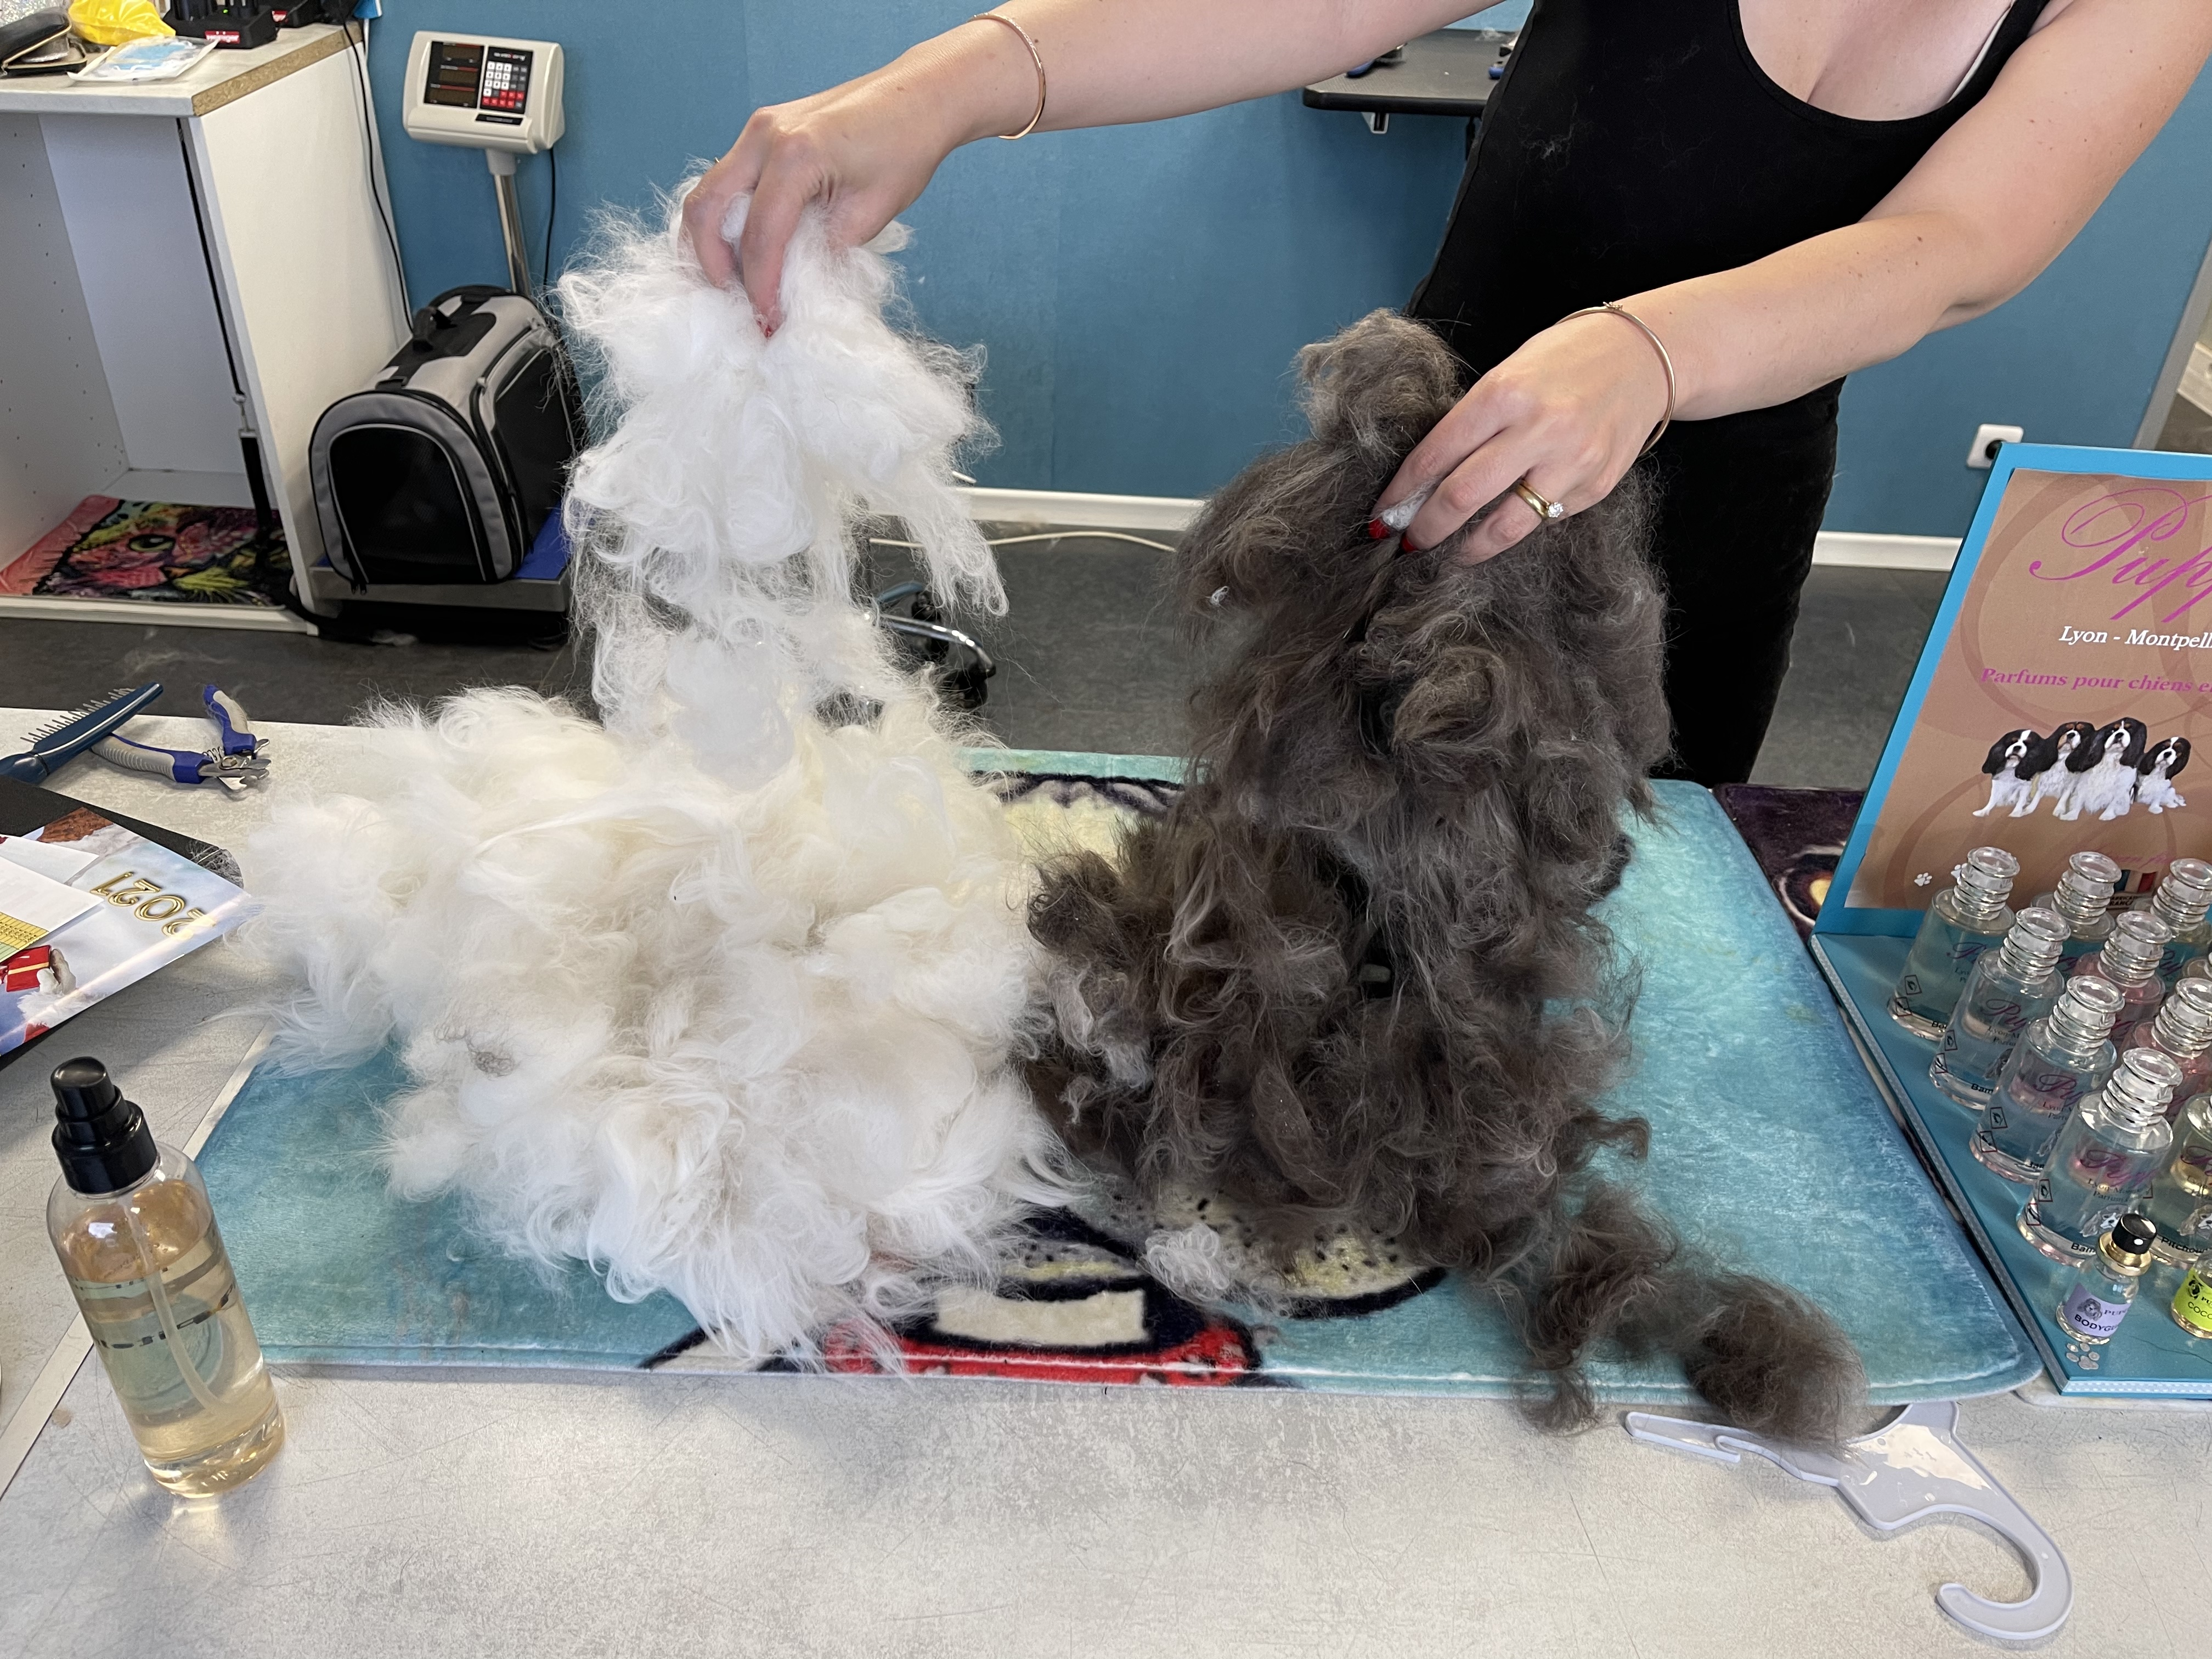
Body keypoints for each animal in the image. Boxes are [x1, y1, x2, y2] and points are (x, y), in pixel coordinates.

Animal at [1973, 727, 2045, 817]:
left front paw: (2016, 814)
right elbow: (1992, 799)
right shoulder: (1997, 782)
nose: (2017, 747)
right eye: (2013, 742)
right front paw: (1984, 812)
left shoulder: (2026, 786)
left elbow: (2021, 800)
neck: (2012, 766)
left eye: (2028, 744)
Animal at [2027, 720, 2096, 817]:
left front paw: (2059, 810)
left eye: (2082, 732)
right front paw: (2029, 809)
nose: (2071, 734)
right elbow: (2039, 791)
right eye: (2066, 730)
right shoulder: (2045, 777)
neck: (2064, 757)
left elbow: (2065, 795)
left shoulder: (2072, 782)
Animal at [2063, 717, 2148, 821]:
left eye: (2130, 730)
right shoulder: (2085, 784)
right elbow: (2079, 800)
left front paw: (2107, 816)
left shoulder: (2122, 789)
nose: (2119, 734)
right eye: (2112, 731)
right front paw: (2071, 815)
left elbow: (2114, 803)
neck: (2112, 756)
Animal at [2139, 735, 2191, 814]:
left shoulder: (2161, 786)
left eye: (2178, 749)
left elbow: (2157, 796)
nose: (2167, 753)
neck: (2159, 769)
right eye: (2164, 747)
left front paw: (2155, 809)